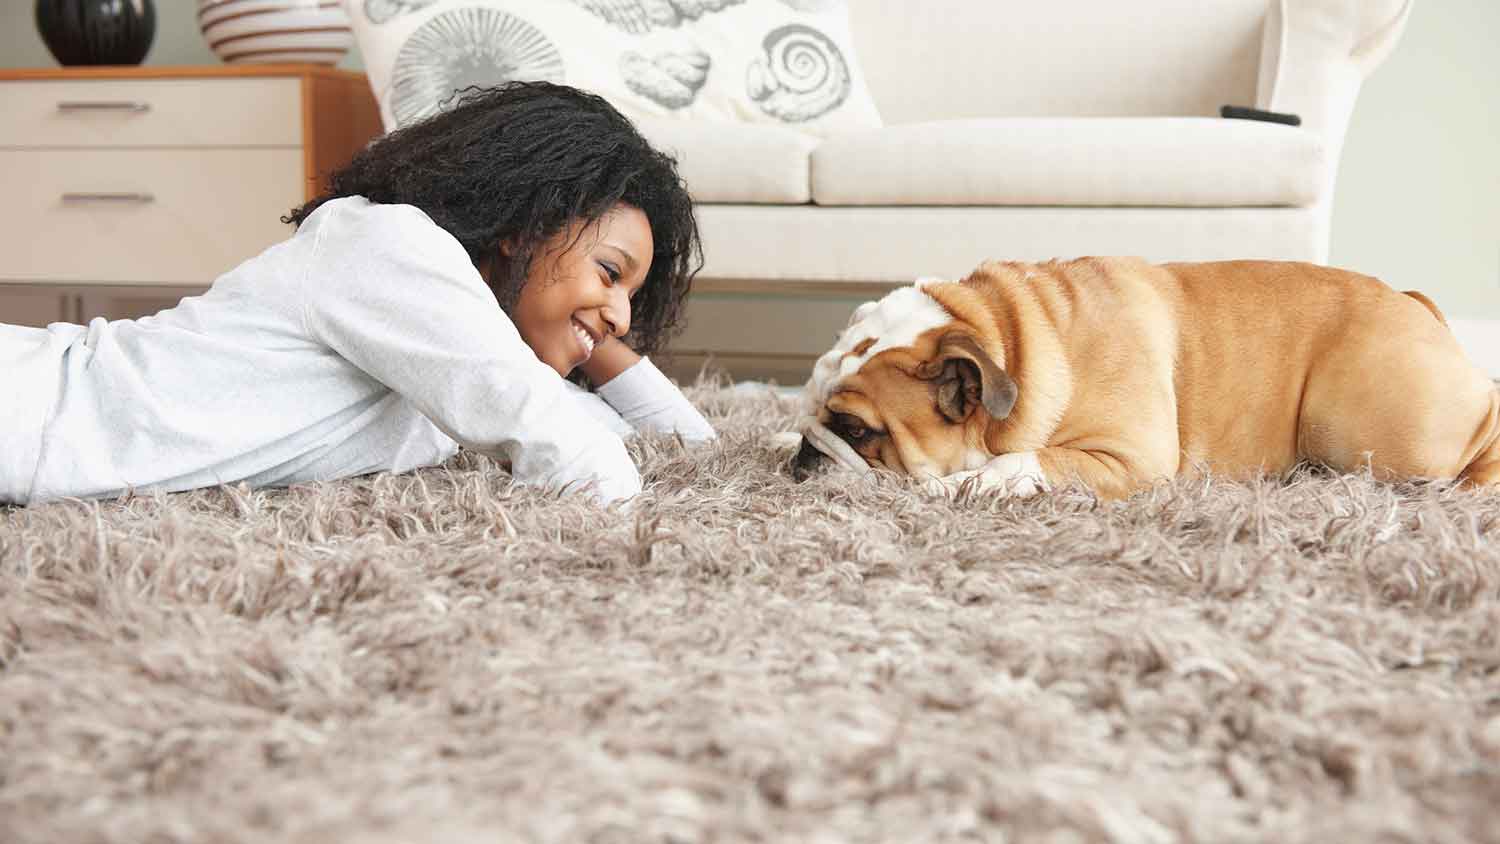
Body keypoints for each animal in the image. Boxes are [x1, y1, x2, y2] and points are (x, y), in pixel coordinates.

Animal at [792, 257, 1500, 494]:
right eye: (810, 412)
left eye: (856, 430)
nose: (805, 456)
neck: (1008, 337)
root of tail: (1414, 301)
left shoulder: (1128, 458)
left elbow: (1022, 462)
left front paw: (959, 485)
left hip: (1368, 428)